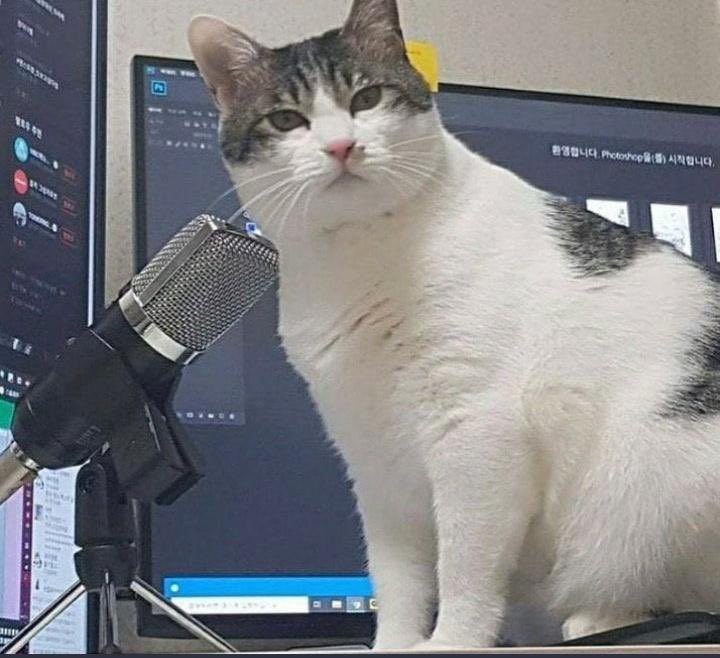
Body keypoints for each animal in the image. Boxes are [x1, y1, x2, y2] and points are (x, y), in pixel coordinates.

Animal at [188, 0, 720, 650]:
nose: (341, 146)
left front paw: (451, 642)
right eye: (287, 119)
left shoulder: (476, 433)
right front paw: (393, 644)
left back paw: (599, 616)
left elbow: (465, 566)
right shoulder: (373, 461)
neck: (361, 256)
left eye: (367, 98)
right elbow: (397, 578)